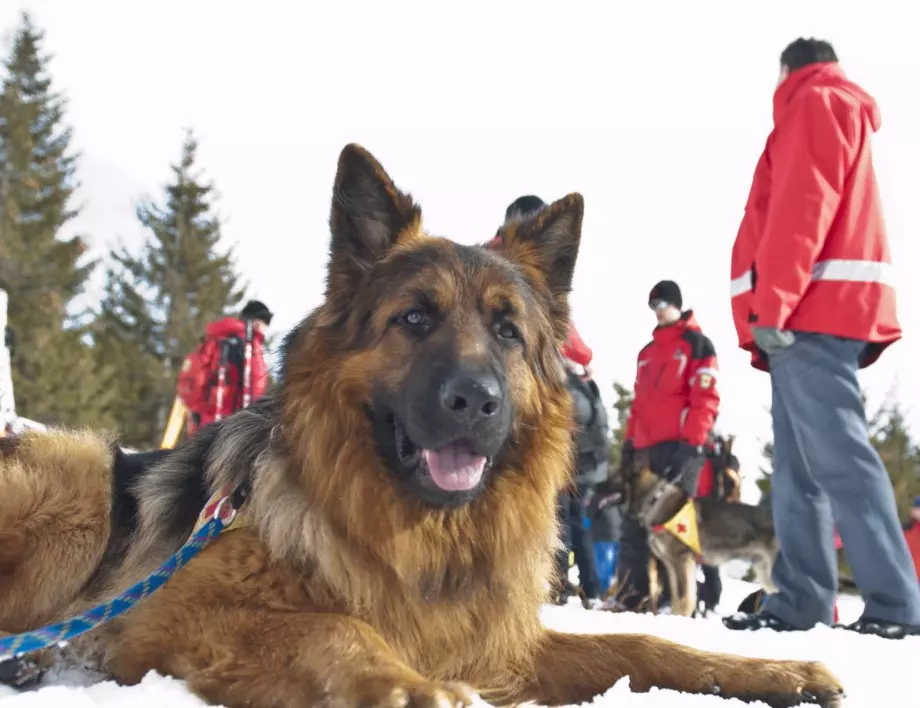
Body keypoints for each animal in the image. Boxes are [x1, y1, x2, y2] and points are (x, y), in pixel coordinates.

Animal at [608, 450, 780, 616]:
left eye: (613, 478)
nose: (599, 486)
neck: (655, 501)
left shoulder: (682, 562)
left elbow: (685, 598)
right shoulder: (672, 567)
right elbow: (677, 598)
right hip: (765, 574)